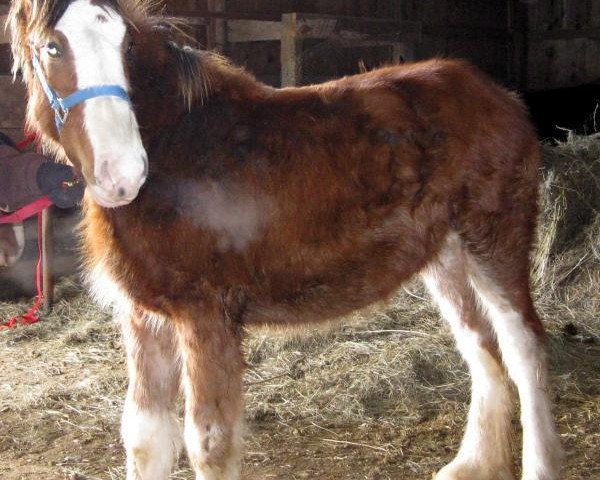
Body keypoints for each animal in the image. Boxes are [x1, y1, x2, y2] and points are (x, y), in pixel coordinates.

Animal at [8, 1, 564, 478]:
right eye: (52, 47)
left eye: (125, 46)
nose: (122, 175)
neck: (175, 146)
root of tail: (500, 96)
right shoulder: (145, 316)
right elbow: (145, 438)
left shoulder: (205, 317)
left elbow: (208, 444)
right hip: (446, 254)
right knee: (480, 345)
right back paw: (475, 464)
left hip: (493, 238)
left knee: (523, 346)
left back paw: (539, 464)